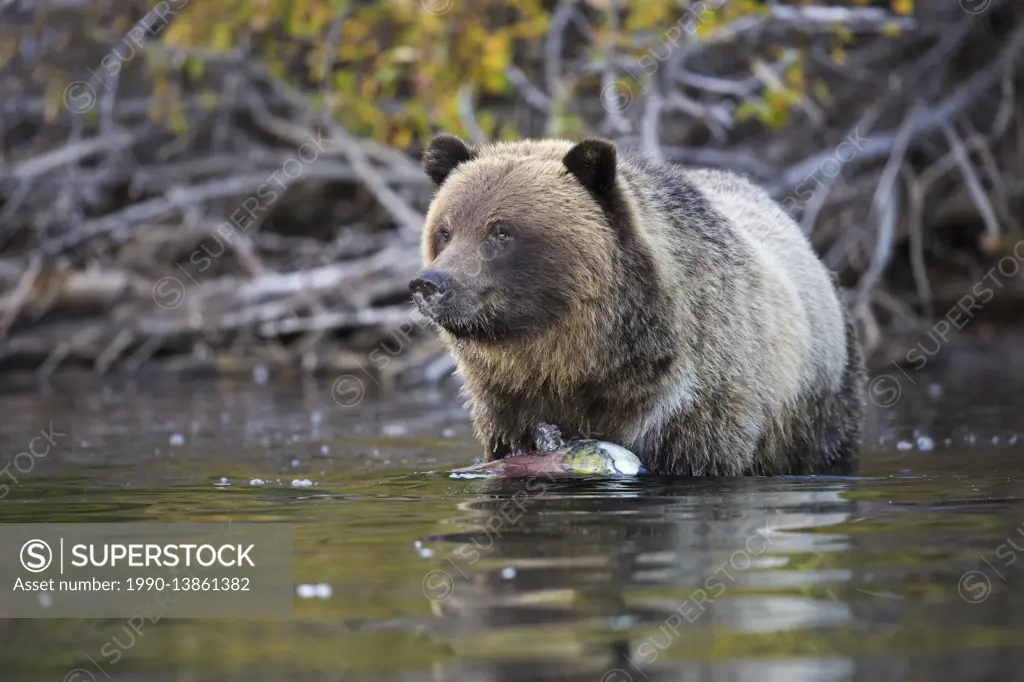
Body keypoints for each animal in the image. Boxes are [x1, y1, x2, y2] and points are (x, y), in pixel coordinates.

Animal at [407, 133, 864, 473]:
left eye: (501, 232)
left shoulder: (699, 407)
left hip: (821, 402)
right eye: (445, 230)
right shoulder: (505, 405)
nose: (430, 284)